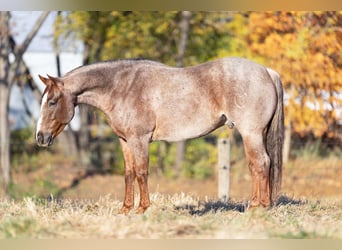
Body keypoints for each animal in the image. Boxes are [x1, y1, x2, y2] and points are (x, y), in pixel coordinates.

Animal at [36, 57, 284, 215]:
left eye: (52, 102)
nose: (40, 137)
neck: (121, 88)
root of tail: (267, 71)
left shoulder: (140, 139)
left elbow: (141, 172)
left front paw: (142, 208)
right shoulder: (125, 141)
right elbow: (129, 173)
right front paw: (125, 209)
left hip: (250, 133)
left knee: (261, 163)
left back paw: (259, 207)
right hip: (255, 134)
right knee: (257, 165)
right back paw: (256, 204)